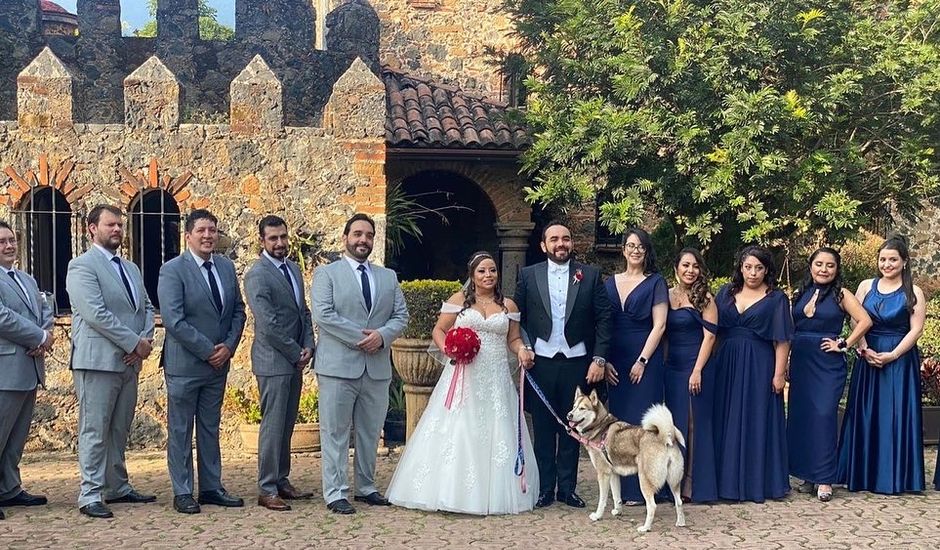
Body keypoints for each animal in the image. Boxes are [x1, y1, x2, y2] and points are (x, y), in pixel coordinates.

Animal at [560, 388, 688, 536]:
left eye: (582, 408)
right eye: (574, 406)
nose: (569, 415)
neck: (599, 426)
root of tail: (666, 438)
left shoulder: (603, 474)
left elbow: (602, 500)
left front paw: (597, 516)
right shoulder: (613, 474)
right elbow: (617, 497)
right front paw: (618, 511)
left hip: (644, 480)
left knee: (652, 505)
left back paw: (645, 528)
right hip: (673, 480)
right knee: (679, 501)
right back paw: (680, 522)